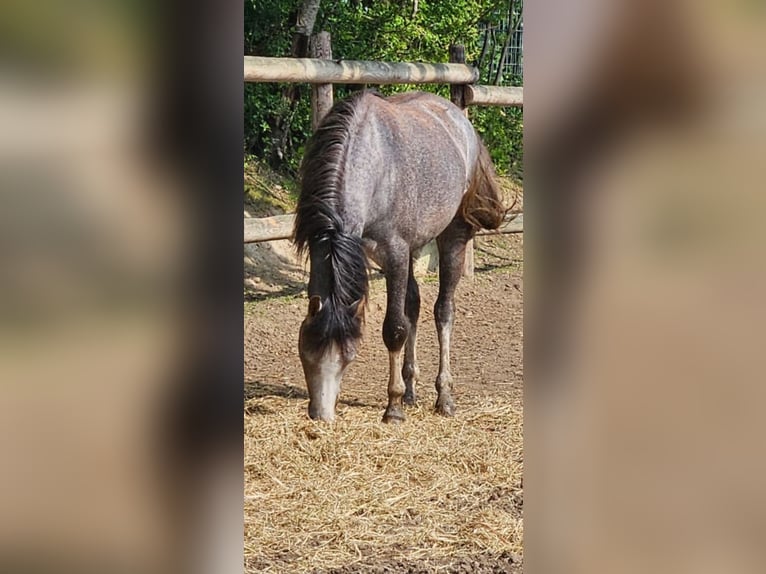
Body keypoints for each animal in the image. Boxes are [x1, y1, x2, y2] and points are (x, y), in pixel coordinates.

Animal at [292, 90, 504, 424]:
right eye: (304, 350)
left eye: (349, 355)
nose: (321, 415)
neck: (373, 164)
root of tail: (462, 123)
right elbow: (405, 317)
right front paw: (401, 396)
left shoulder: (395, 254)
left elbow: (394, 329)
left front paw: (392, 409)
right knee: (414, 305)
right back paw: (410, 392)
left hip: (451, 237)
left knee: (444, 311)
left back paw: (444, 398)